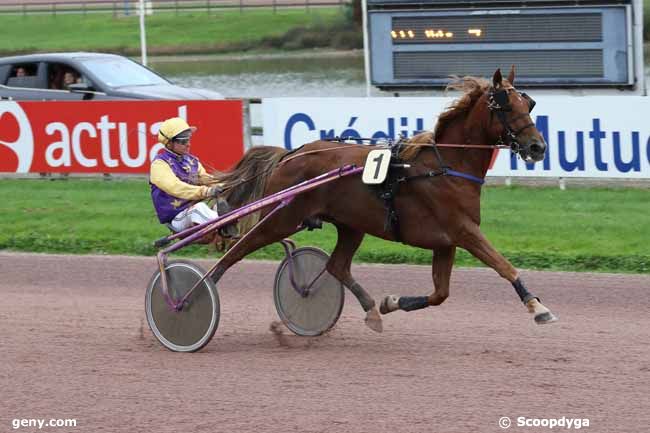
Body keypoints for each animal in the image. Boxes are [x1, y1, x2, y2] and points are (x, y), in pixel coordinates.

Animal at [214, 67, 556, 330]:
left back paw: (370, 310)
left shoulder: (446, 241)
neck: (446, 166)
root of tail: (290, 154)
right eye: (507, 107)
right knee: (237, 251)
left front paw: (391, 302)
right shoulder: (463, 230)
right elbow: (503, 265)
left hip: (351, 225)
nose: (538, 147)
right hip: (282, 218)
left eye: (528, 104)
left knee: (337, 267)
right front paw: (537, 306)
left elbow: (440, 294)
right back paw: (205, 288)